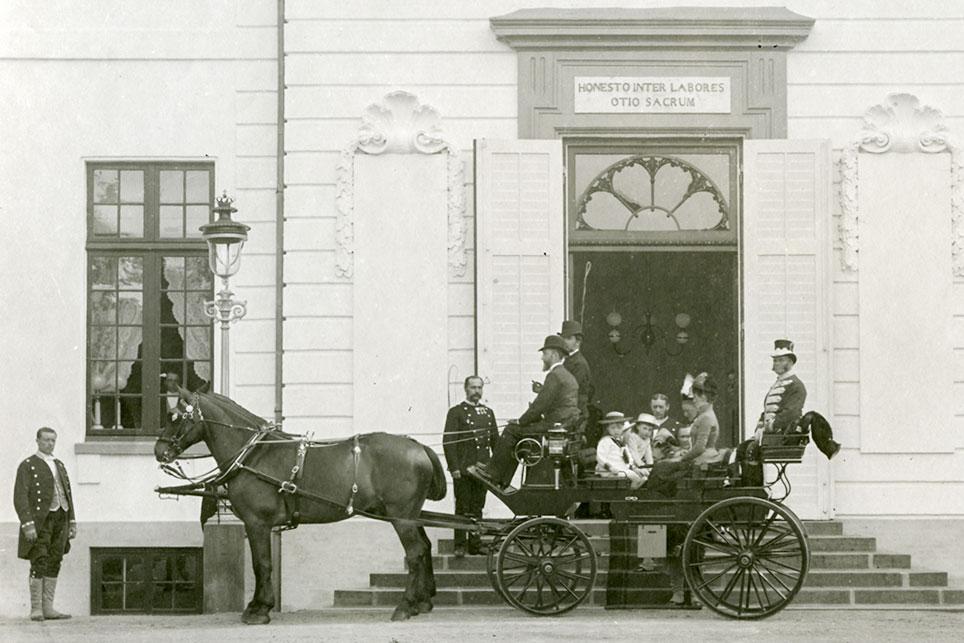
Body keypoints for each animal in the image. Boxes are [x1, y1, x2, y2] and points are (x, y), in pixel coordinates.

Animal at [155, 388, 448, 624]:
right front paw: (258, 605)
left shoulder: (257, 522)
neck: (254, 454)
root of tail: (418, 446)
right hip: (411, 515)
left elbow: (261, 564)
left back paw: (405, 606)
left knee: (415, 553)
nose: (159, 451)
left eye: (175, 417)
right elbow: (262, 563)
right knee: (424, 548)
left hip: (402, 518)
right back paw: (421, 601)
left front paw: (259, 609)